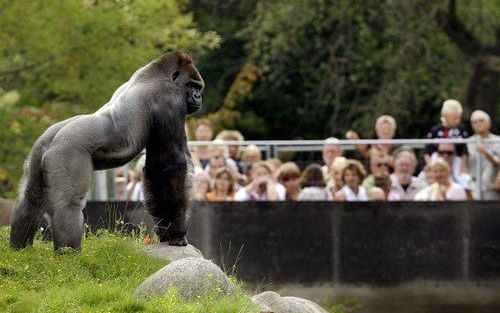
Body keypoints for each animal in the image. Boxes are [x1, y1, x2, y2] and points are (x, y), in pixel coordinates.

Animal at [8, 51, 203, 251]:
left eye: (198, 87)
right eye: (191, 85)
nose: (197, 97)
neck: (156, 73)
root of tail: (53, 140)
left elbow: (156, 168)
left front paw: (166, 230)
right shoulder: (170, 100)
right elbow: (170, 164)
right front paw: (176, 232)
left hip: (38, 150)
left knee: (30, 199)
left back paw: (20, 249)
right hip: (66, 152)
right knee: (68, 203)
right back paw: (69, 254)